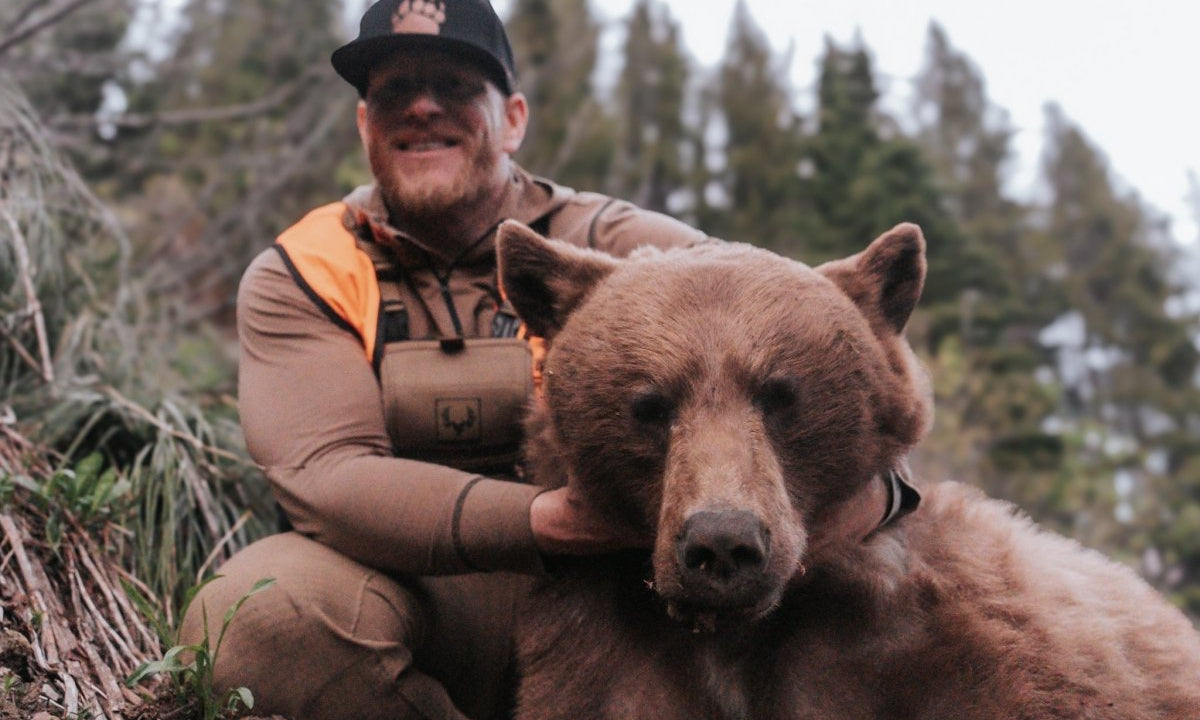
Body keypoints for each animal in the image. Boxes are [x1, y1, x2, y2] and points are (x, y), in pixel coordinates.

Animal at [494, 220, 1200, 720]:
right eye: (650, 404)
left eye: (781, 393)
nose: (722, 543)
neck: (739, 638)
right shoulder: (613, 660)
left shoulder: (954, 657)